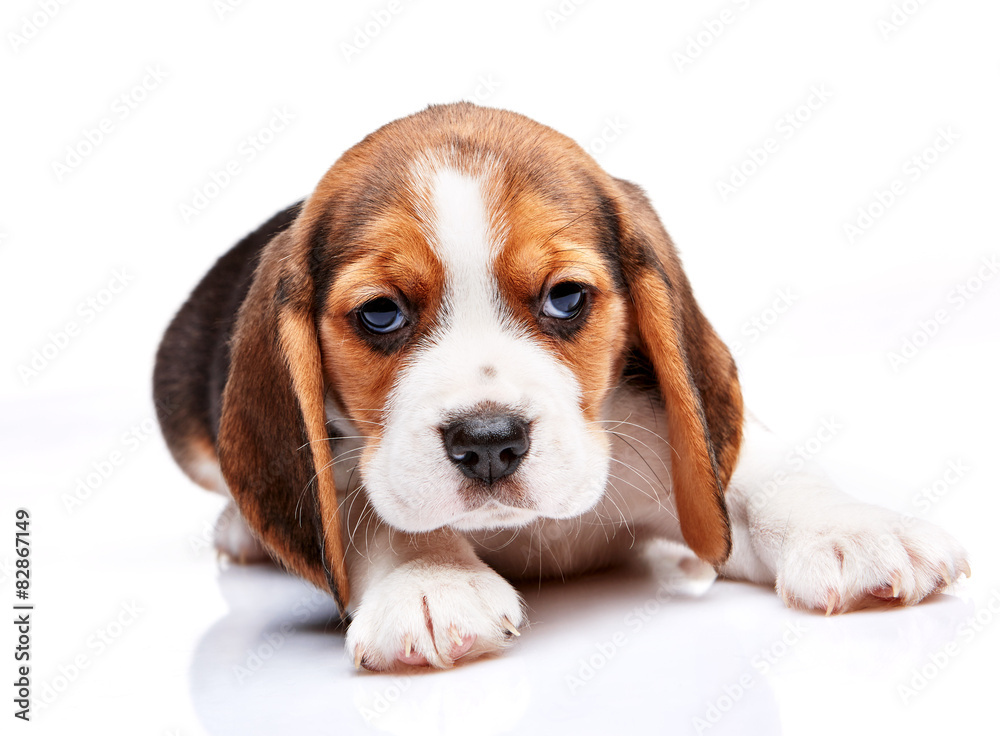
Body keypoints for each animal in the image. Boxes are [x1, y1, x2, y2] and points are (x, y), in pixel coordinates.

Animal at [154, 103, 968, 672]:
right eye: (380, 314)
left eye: (566, 298)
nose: (488, 443)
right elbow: (364, 505)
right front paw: (428, 579)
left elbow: (761, 476)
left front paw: (852, 532)